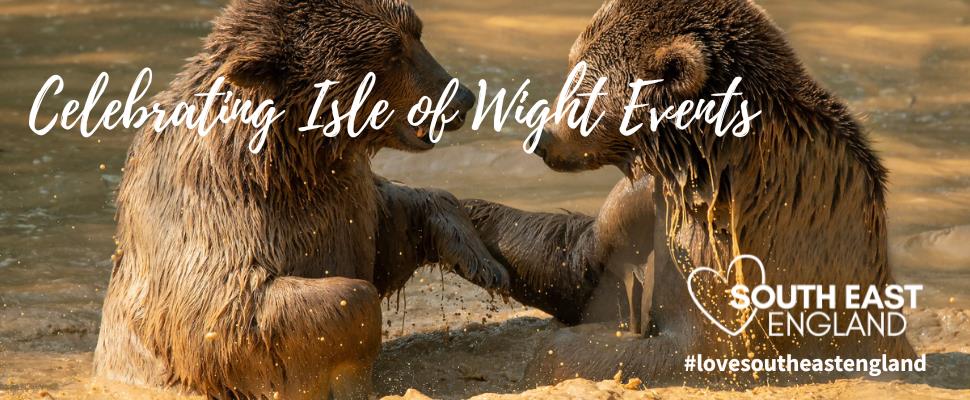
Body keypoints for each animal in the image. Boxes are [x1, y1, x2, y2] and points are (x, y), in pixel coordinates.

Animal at [93, 0, 509, 399]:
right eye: (392, 52)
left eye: (415, 33)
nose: (463, 98)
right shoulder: (217, 214)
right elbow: (226, 315)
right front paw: (350, 376)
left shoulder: (346, 196)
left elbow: (395, 222)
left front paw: (485, 264)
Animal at [461, 0, 916, 387]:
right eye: (572, 66)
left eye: (584, 86)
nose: (541, 138)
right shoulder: (653, 197)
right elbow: (579, 267)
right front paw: (458, 215)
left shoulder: (737, 242)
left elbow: (694, 347)